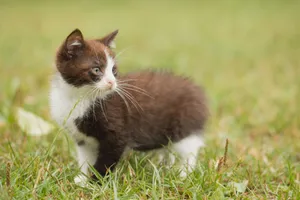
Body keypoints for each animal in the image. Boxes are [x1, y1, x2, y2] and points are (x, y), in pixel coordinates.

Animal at [49, 28, 209, 185]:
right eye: (96, 69)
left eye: (113, 71)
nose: (112, 83)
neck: (78, 95)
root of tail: (197, 90)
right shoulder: (80, 137)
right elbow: (84, 157)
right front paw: (82, 178)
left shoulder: (116, 130)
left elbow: (107, 158)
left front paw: (96, 182)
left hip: (185, 124)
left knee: (189, 152)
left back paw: (184, 175)